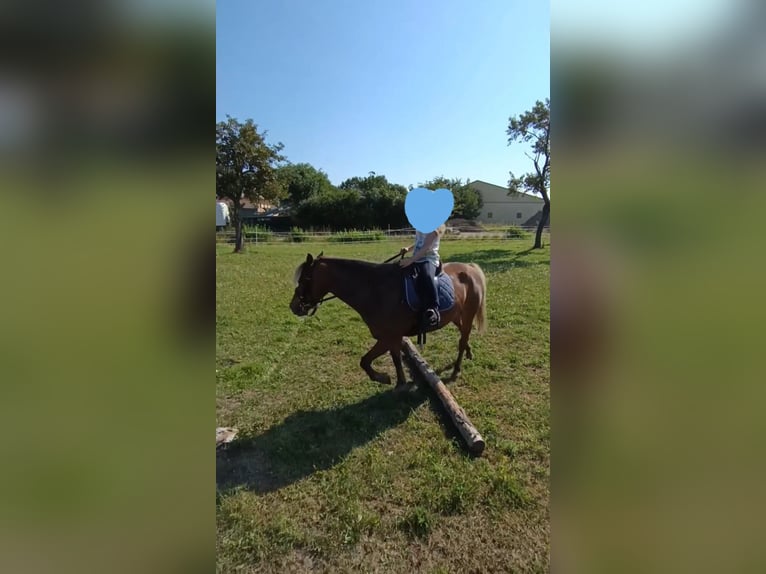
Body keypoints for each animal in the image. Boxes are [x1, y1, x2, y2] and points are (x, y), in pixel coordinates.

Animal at [292, 254, 488, 390]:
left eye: (304, 279)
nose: (294, 306)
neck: (375, 289)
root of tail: (470, 268)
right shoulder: (393, 338)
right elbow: (395, 359)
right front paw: (400, 383)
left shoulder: (388, 337)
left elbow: (364, 361)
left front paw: (383, 378)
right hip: (455, 316)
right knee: (464, 335)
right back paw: (469, 353)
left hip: (468, 314)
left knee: (462, 339)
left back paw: (456, 370)